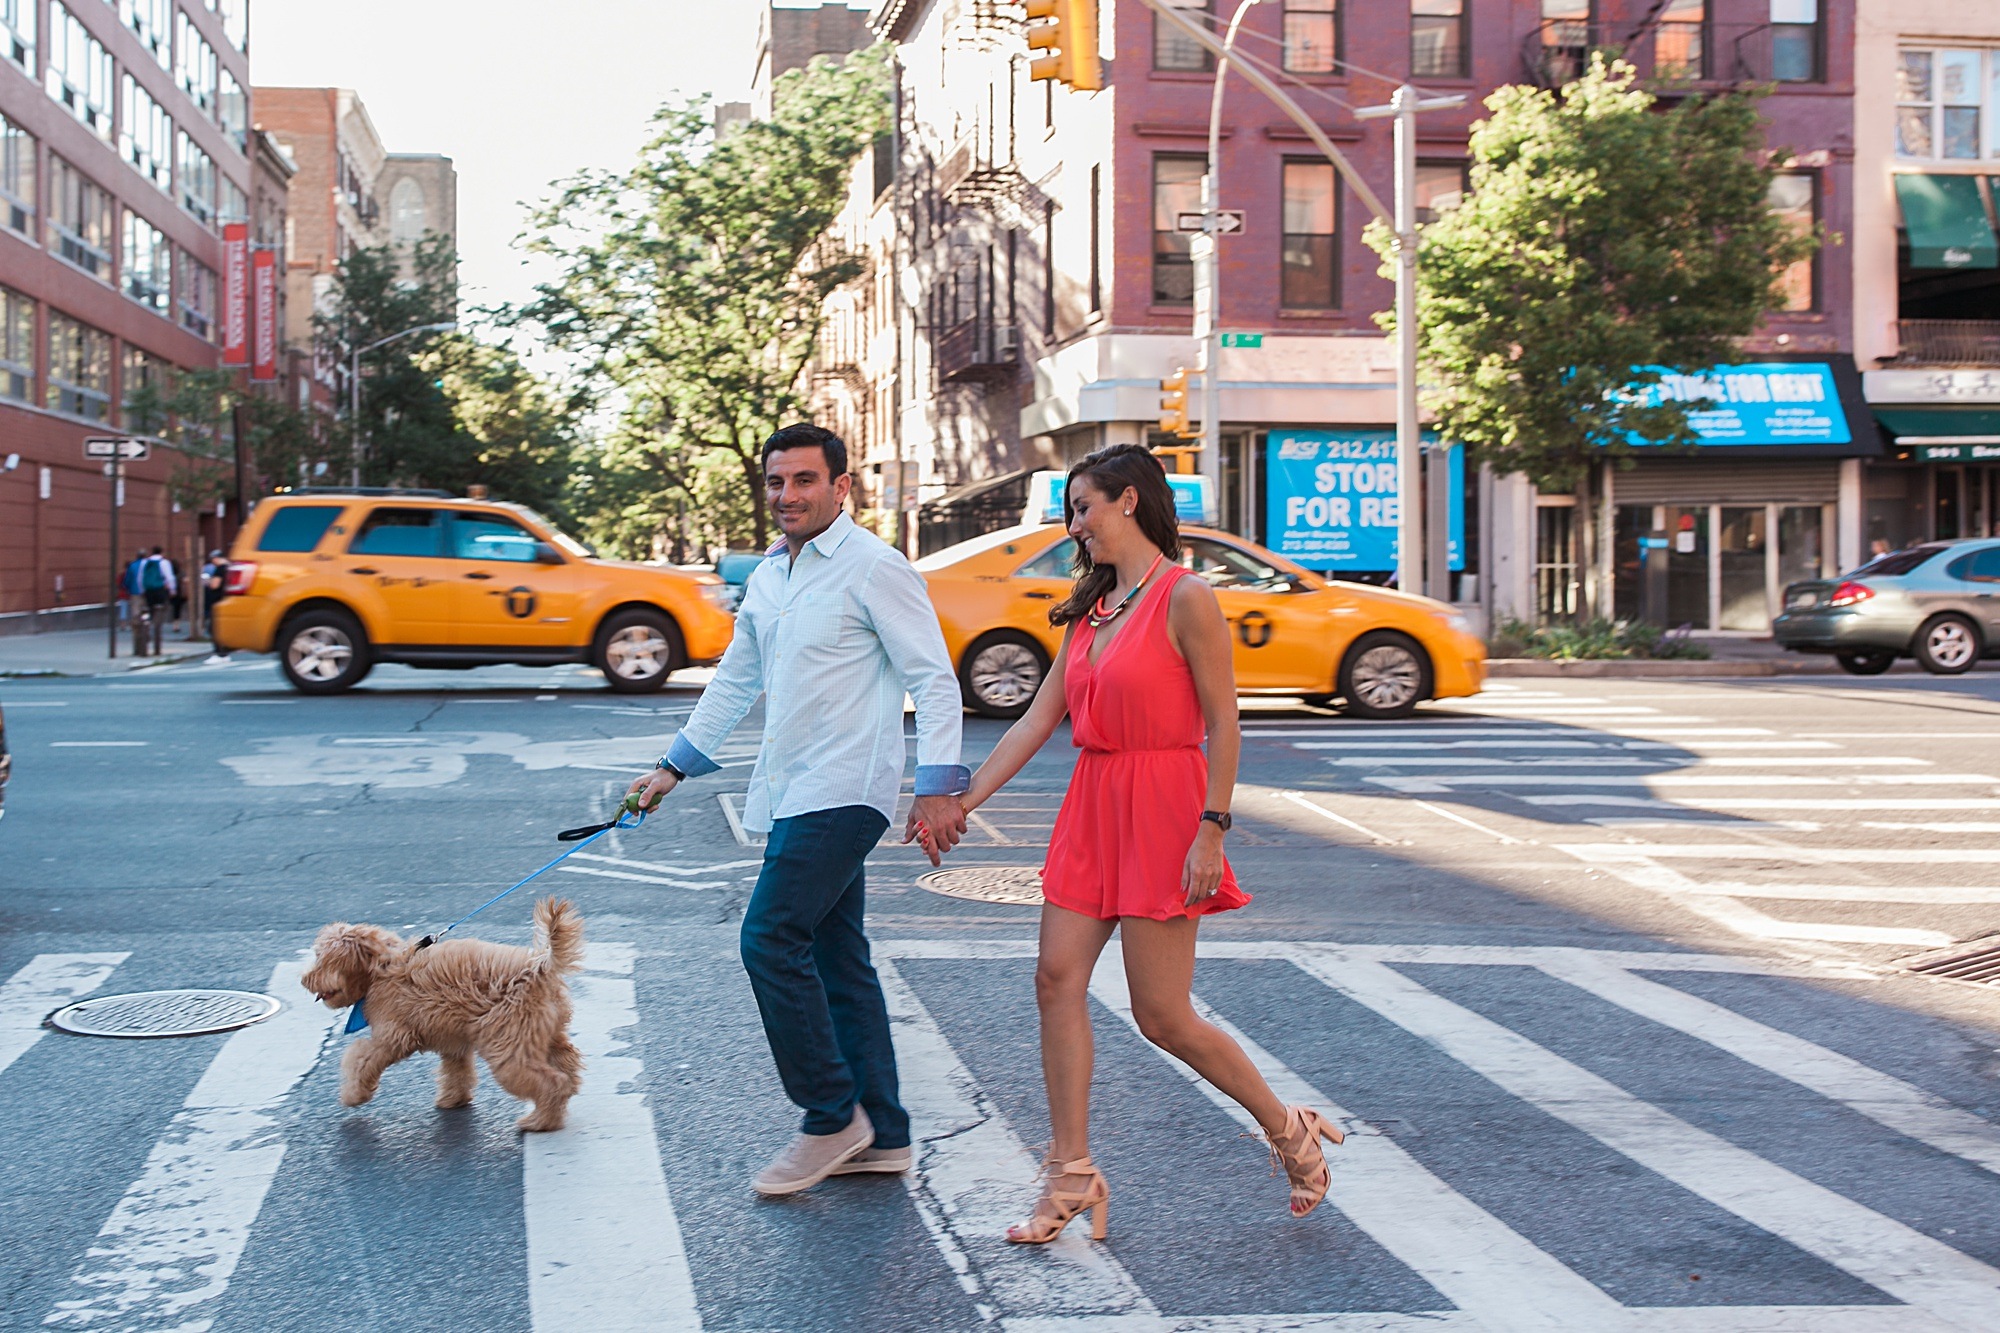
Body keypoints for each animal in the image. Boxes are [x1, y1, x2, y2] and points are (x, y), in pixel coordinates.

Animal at [300, 892, 584, 1128]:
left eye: (320, 959)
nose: (304, 980)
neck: (380, 969)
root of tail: (540, 967)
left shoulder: (393, 1036)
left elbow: (360, 1059)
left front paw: (353, 1094)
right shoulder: (453, 1042)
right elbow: (456, 1072)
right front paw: (453, 1100)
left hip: (509, 1046)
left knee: (551, 1082)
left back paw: (540, 1121)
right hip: (544, 1033)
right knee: (566, 1060)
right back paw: (566, 1094)